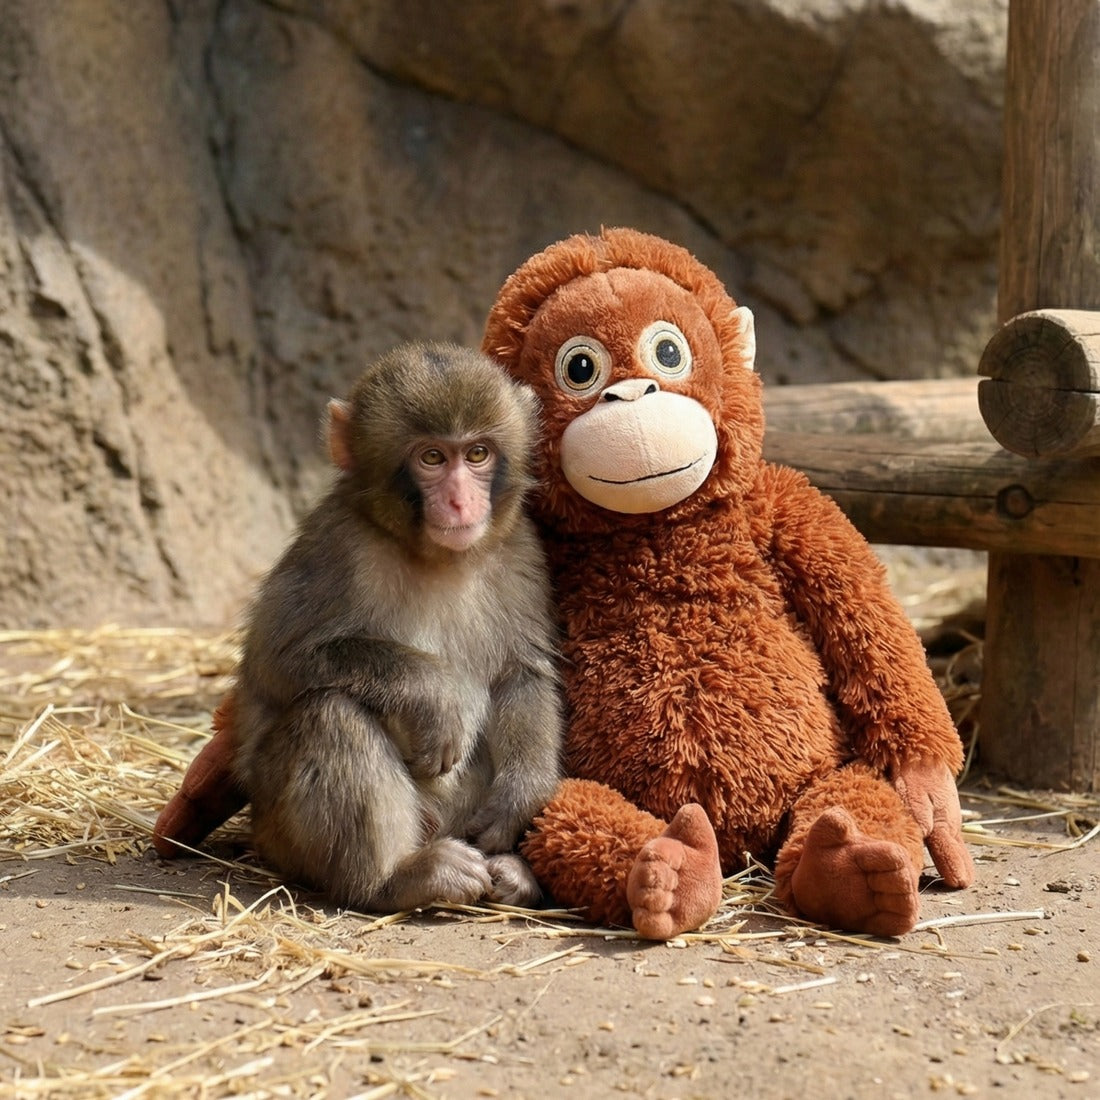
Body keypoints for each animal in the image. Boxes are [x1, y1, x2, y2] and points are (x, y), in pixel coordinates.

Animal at [229, 342, 563, 912]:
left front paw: (522, 794)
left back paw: (514, 871)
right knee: (332, 714)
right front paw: (437, 697)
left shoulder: (521, 549)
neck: (436, 558)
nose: (459, 501)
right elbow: (276, 657)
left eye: (477, 454)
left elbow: (523, 673)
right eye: (431, 458)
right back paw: (395, 880)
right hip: (276, 829)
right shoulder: (337, 544)